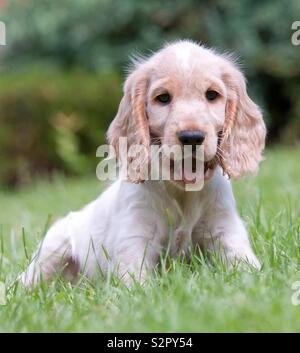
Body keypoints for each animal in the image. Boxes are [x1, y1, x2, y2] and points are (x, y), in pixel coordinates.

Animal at [21, 40, 264, 286]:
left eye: (212, 95)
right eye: (163, 98)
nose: (192, 137)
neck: (181, 194)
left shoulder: (225, 228)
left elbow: (246, 264)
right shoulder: (134, 236)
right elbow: (136, 282)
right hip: (52, 250)